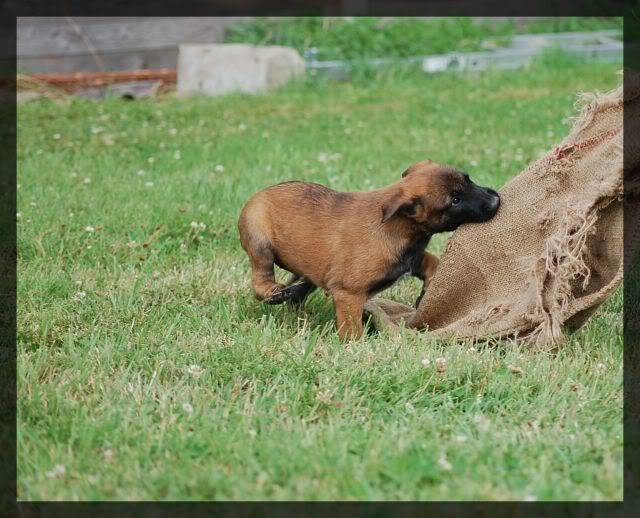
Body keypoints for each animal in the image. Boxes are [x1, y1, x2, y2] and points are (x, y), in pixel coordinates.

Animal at [239, 160, 500, 344]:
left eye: (468, 179)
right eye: (454, 201)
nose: (496, 200)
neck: (399, 225)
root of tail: (260, 193)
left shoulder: (412, 258)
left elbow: (432, 263)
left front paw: (427, 290)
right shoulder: (348, 294)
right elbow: (352, 330)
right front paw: (355, 349)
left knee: (301, 287)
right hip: (259, 242)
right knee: (261, 281)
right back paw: (275, 292)